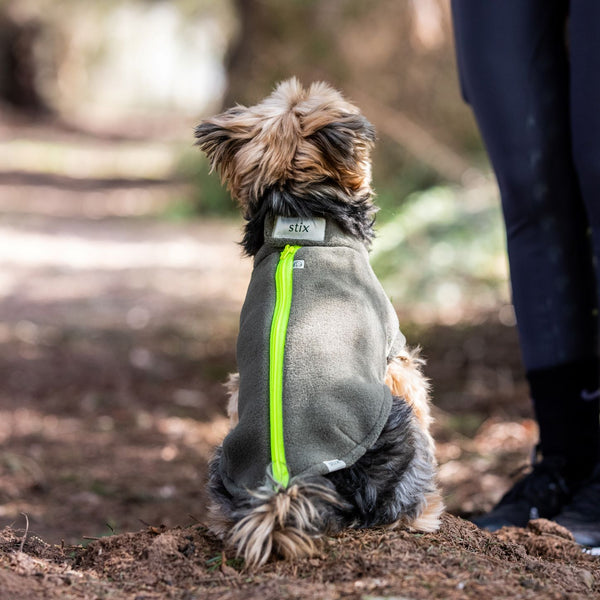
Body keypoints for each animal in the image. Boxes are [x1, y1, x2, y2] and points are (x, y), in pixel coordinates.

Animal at [195, 78, 442, 568]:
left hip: (224, 461)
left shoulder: (236, 385)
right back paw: (427, 513)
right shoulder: (395, 353)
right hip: (396, 426)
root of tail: (288, 486)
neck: (300, 215)